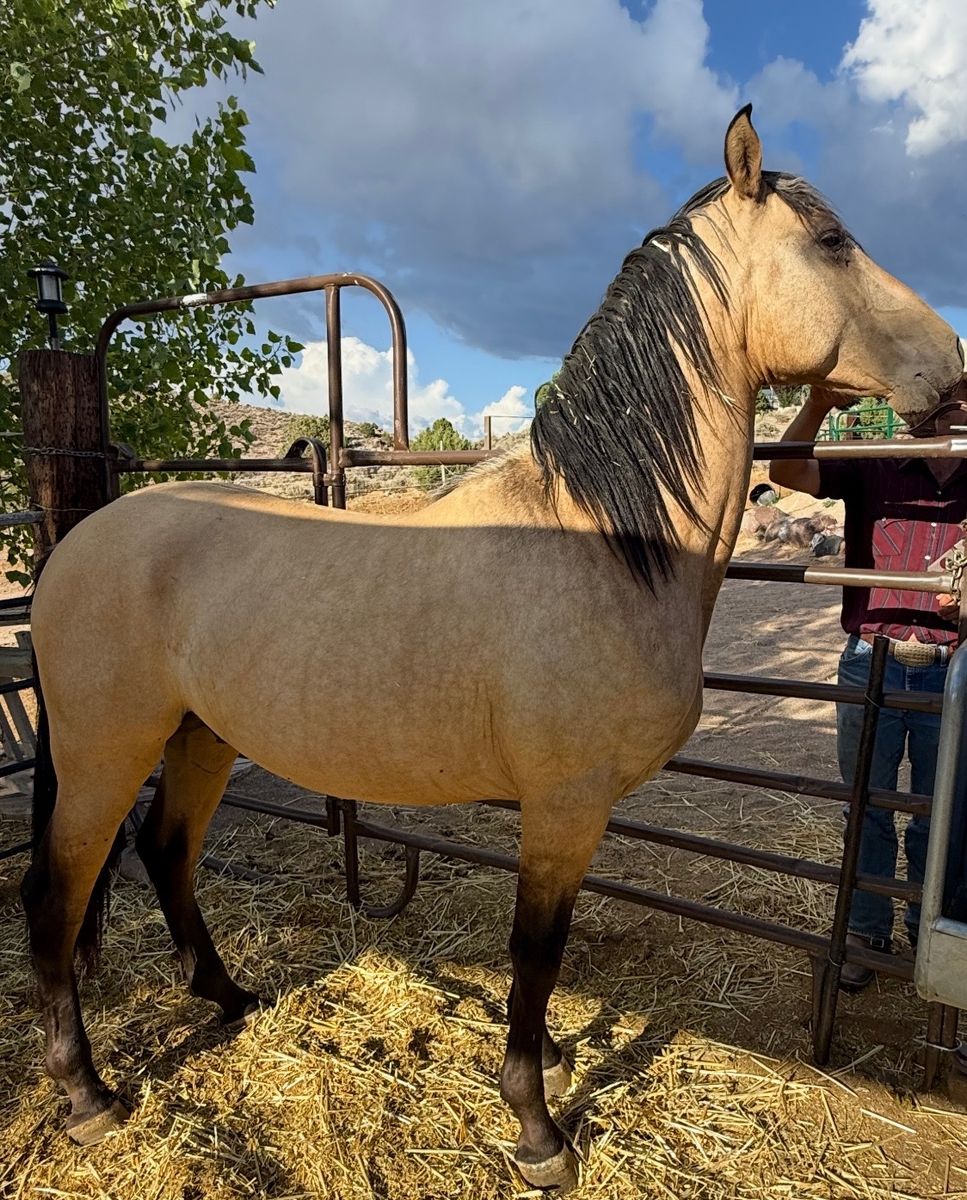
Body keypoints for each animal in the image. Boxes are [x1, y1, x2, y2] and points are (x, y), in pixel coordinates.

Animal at [23, 106, 964, 1191]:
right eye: (831, 242)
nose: (952, 364)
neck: (600, 538)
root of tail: (74, 545)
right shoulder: (564, 807)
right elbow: (535, 952)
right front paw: (538, 1126)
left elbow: (543, 961)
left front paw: (548, 1063)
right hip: (105, 752)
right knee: (58, 894)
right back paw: (87, 1094)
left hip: (201, 737)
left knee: (166, 854)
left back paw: (228, 999)